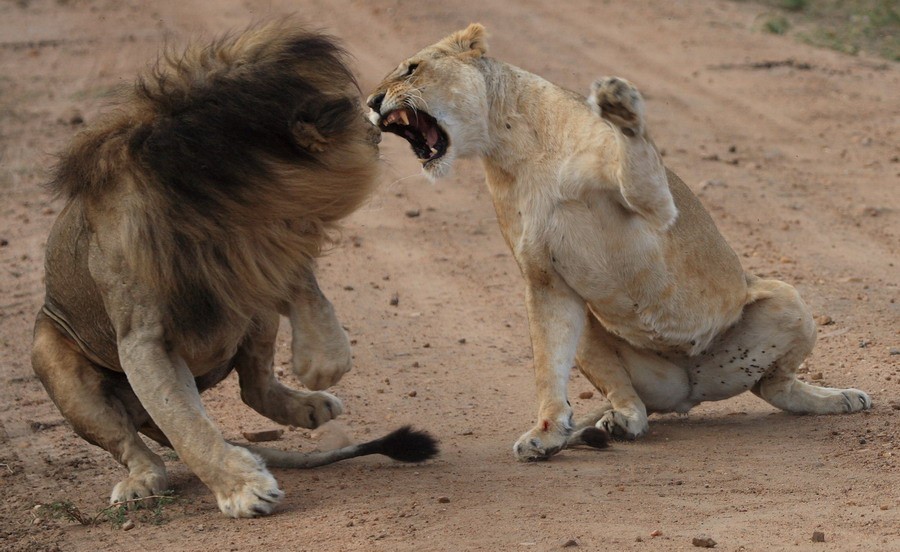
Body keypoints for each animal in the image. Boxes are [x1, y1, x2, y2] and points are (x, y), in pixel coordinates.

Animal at [34, 18, 440, 516]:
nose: (374, 120)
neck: (223, 205)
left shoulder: (259, 251)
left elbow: (305, 287)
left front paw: (322, 359)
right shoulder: (142, 341)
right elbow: (187, 427)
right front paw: (243, 489)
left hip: (254, 317)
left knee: (254, 385)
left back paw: (311, 405)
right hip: (53, 358)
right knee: (133, 440)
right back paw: (141, 480)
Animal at [368, 22, 872, 462]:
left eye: (411, 68)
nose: (372, 102)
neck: (513, 149)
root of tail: (695, 389)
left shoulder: (656, 206)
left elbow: (633, 145)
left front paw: (620, 103)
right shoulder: (545, 280)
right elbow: (547, 365)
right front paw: (546, 432)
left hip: (787, 297)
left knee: (775, 383)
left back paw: (841, 398)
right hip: (602, 334)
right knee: (637, 399)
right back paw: (618, 422)